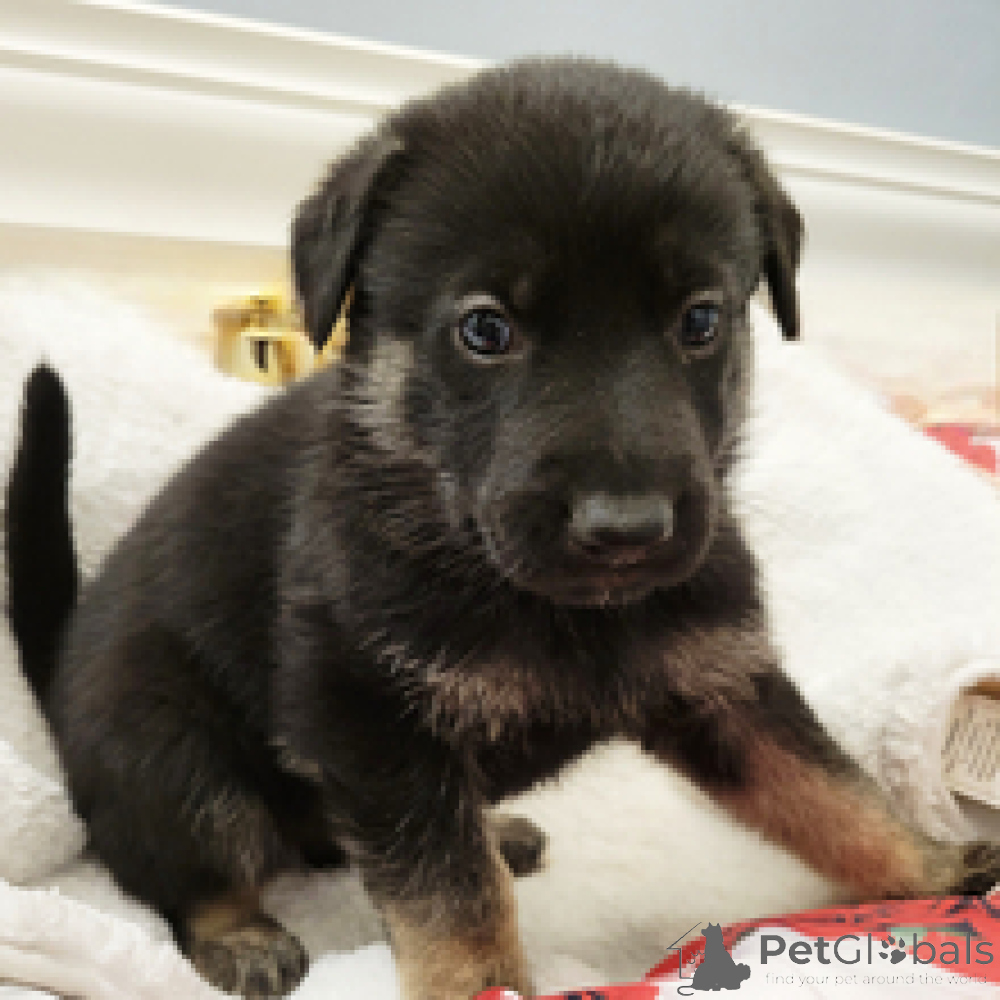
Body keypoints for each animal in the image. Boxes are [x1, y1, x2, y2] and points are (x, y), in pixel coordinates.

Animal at [6, 58, 1000, 1000]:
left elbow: (837, 795)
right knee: (189, 869)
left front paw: (935, 867)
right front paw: (479, 984)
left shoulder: (723, 688)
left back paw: (497, 828)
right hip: (170, 750)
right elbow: (452, 897)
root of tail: (59, 668)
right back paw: (240, 937)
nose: (627, 530)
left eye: (701, 320)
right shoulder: (376, 721)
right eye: (486, 330)